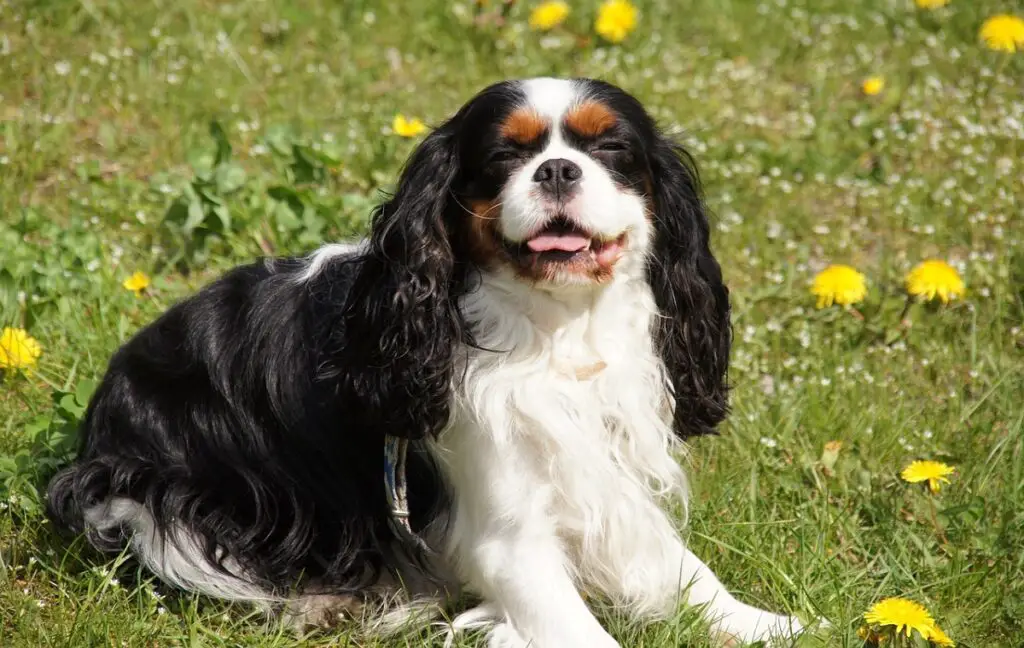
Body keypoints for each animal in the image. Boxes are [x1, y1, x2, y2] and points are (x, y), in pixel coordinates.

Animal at [49, 78, 806, 642]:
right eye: (504, 157)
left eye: (612, 148)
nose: (558, 168)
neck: (556, 330)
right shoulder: (508, 539)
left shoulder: (605, 477)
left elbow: (686, 569)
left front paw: (769, 623)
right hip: (162, 498)